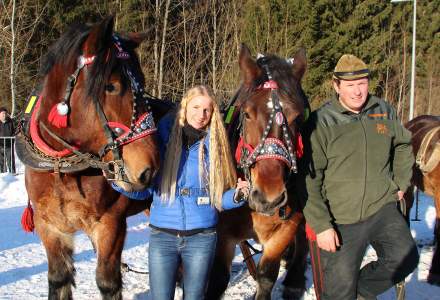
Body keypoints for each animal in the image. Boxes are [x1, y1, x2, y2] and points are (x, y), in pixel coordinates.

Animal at [18, 17, 162, 298]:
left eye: (141, 84)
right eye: (112, 86)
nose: (150, 168)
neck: (61, 168)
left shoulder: (110, 225)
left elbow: (107, 282)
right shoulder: (49, 227)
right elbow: (58, 279)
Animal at [208, 45, 308, 300]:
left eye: (297, 117)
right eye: (247, 114)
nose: (268, 197)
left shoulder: (286, 228)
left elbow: (266, 277)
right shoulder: (222, 234)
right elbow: (217, 280)